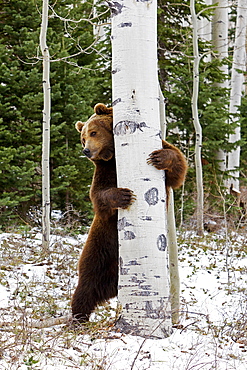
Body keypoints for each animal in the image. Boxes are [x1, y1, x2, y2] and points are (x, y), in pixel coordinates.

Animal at [71, 102, 187, 322]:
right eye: (83, 137)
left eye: (93, 132)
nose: (86, 150)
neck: (113, 156)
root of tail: (111, 286)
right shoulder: (105, 171)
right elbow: (98, 196)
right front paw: (123, 195)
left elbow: (177, 167)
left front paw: (160, 157)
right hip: (98, 250)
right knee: (86, 286)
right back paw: (77, 318)